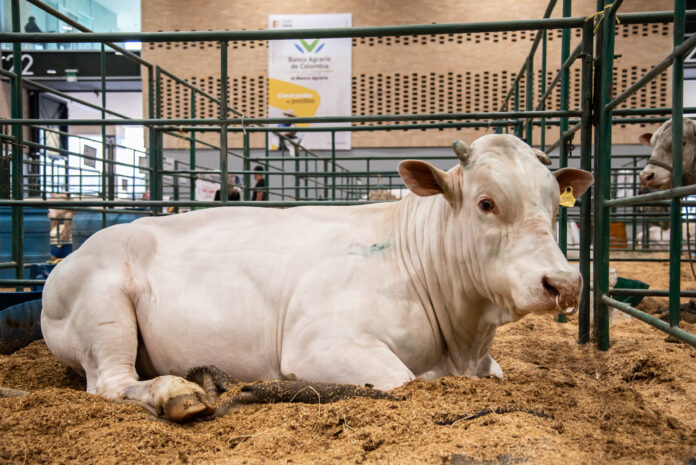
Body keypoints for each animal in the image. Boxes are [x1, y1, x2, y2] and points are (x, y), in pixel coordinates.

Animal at [40, 133, 592, 420]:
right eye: (486, 203)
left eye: (554, 205)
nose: (564, 284)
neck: (462, 342)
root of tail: (66, 262)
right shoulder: (320, 342)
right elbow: (401, 381)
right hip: (104, 312)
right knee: (111, 383)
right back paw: (176, 393)